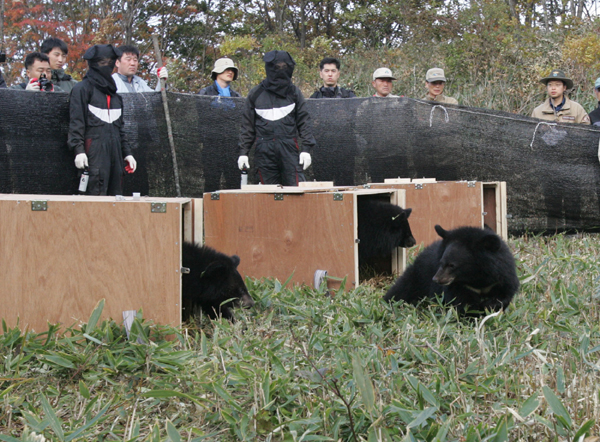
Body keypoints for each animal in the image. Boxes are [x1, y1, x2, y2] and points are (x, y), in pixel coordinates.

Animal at [384, 224, 520, 314]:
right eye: (441, 262)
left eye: (452, 265)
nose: (436, 279)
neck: (475, 278)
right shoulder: (458, 286)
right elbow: (460, 301)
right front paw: (472, 314)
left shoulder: (501, 276)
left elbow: (506, 293)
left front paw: (489, 305)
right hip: (418, 275)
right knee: (403, 290)